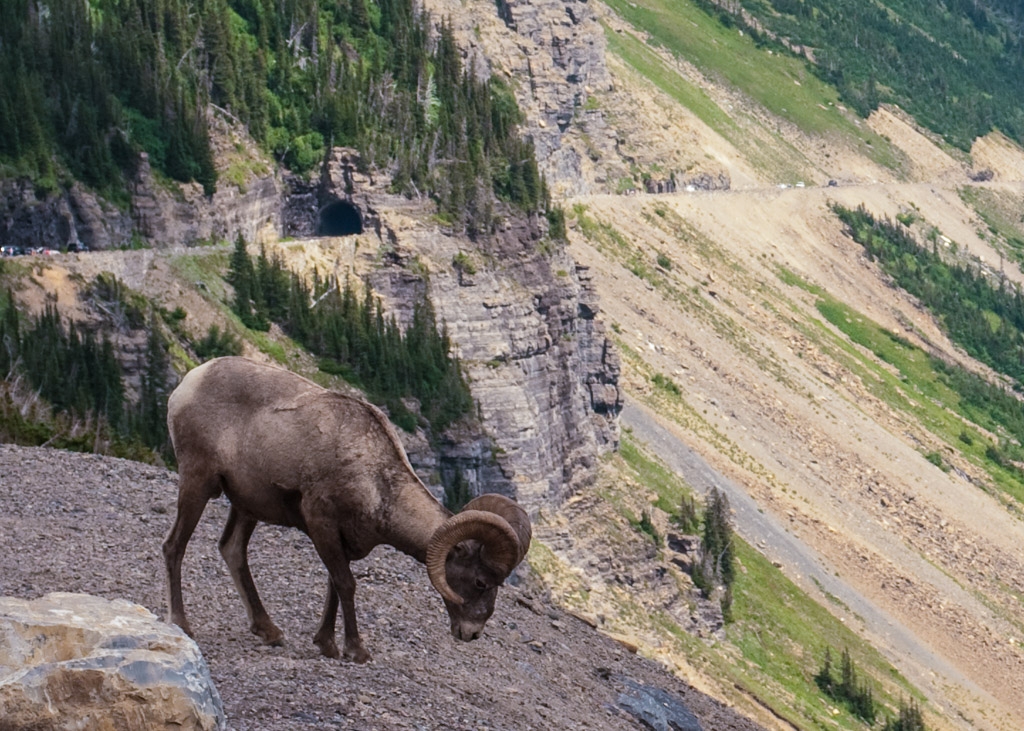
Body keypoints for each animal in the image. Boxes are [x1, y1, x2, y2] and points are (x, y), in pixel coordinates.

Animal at [162, 356, 531, 663]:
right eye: (481, 582)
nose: (471, 634)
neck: (373, 478)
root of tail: (191, 380)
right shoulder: (321, 525)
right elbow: (346, 584)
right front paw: (356, 651)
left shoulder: (342, 541)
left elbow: (334, 587)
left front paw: (326, 644)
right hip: (198, 482)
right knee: (174, 546)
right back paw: (182, 623)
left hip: (246, 505)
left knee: (232, 549)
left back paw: (270, 631)